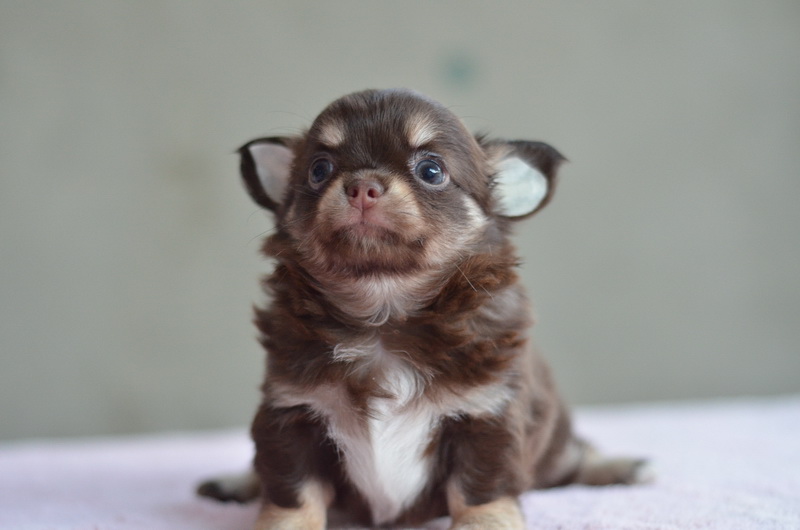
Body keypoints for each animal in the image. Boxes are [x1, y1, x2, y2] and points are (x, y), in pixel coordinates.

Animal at [198, 89, 649, 529]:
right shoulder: (291, 413)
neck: (384, 312)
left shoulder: (487, 416)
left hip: (554, 444)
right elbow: (294, 492)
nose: (363, 186)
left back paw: (620, 467)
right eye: (319, 170)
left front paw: (485, 523)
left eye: (431, 171)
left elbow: (480, 490)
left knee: (575, 456)